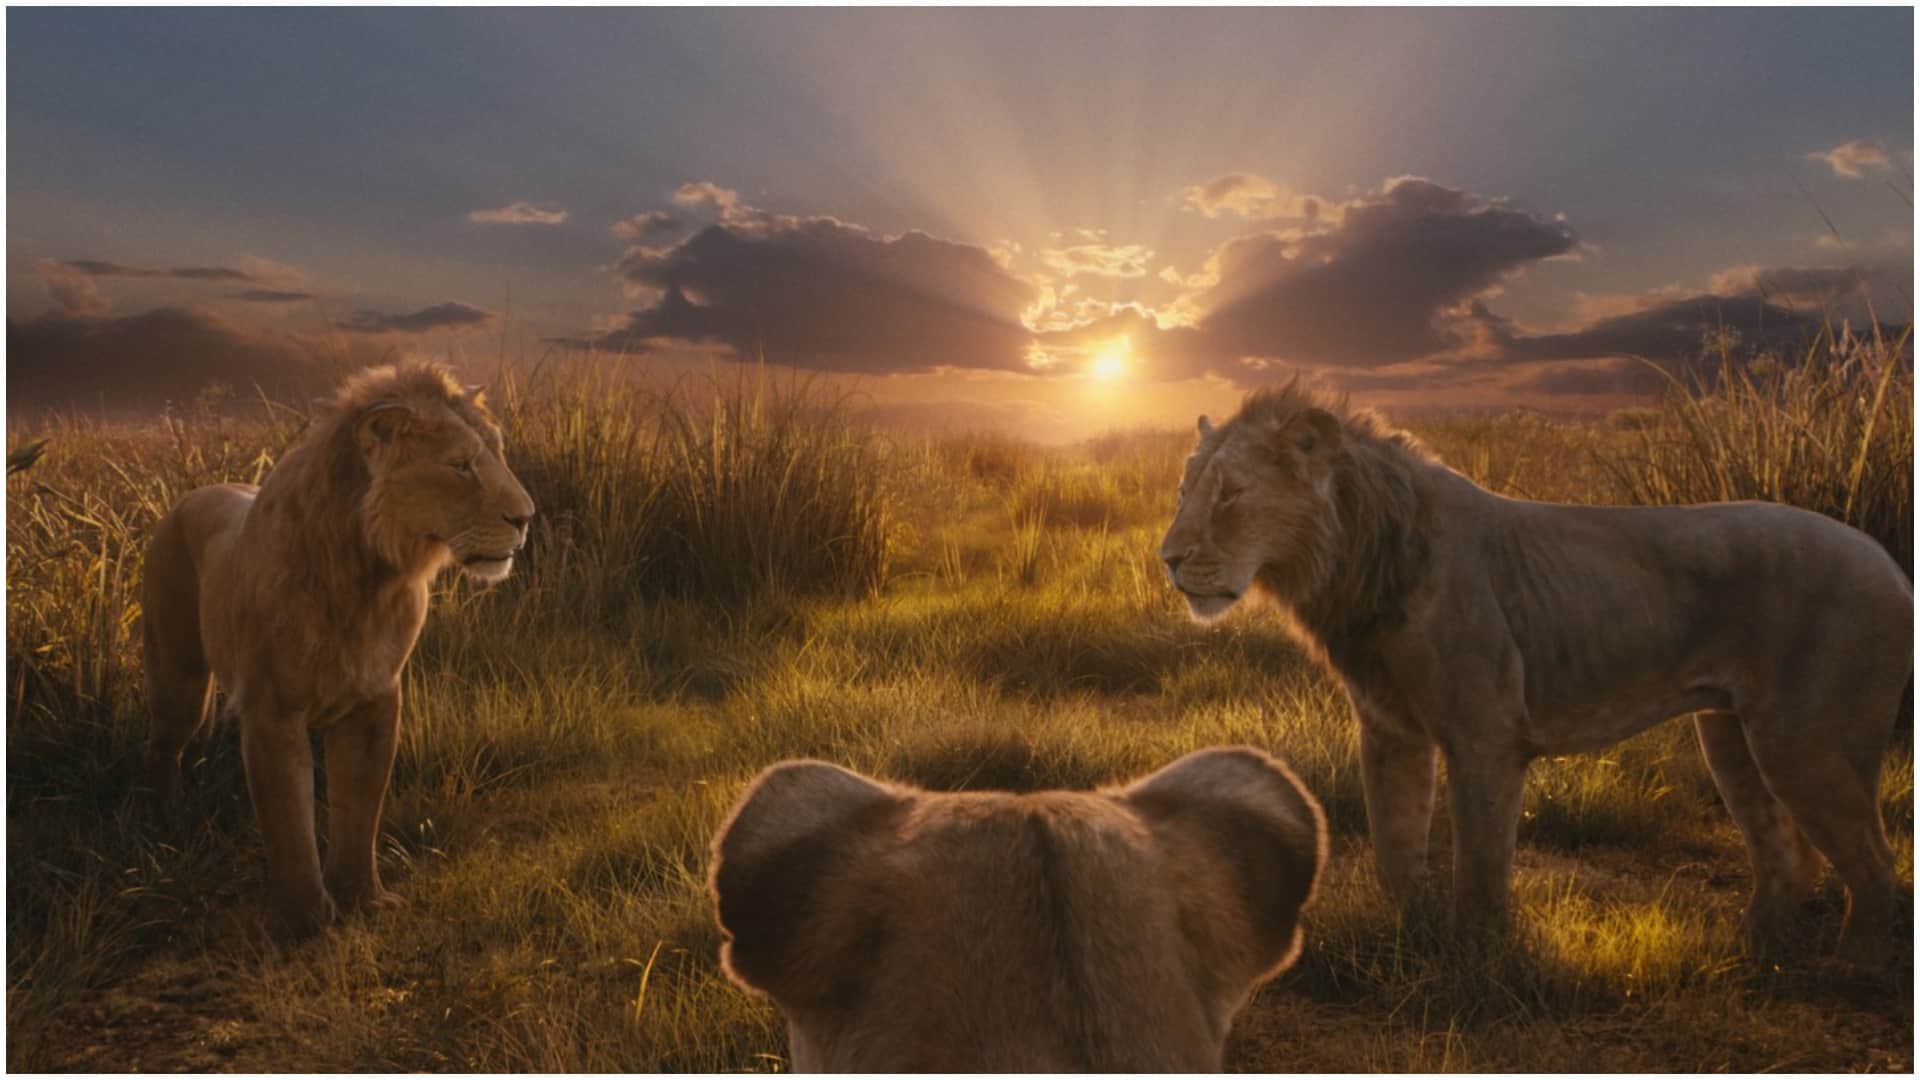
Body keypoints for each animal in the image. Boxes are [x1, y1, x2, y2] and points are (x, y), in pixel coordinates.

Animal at [140, 361, 534, 936]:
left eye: (498, 454)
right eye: (461, 465)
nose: (526, 518)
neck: (368, 577)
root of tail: (191, 495)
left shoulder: (375, 700)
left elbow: (358, 809)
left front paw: (363, 899)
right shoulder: (273, 710)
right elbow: (289, 821)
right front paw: (304, 920)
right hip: (179, 678)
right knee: (164, 746)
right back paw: (163, 824)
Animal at [1158, 380, 1912, 963]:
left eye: (1229, 494)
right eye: (1183, 489)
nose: (1167, 558)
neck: (1357, 563)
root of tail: (1889, 562)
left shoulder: (1486, 736)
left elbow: (1480, 866)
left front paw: (1475, 964)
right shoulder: (1390, 732)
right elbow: (1394, 849)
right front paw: (1414, 941)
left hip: (1805, 744)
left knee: (1877, 872)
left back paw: (1852, 971)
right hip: (1729, 734)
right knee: (1790, 855)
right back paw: (1752, 953)